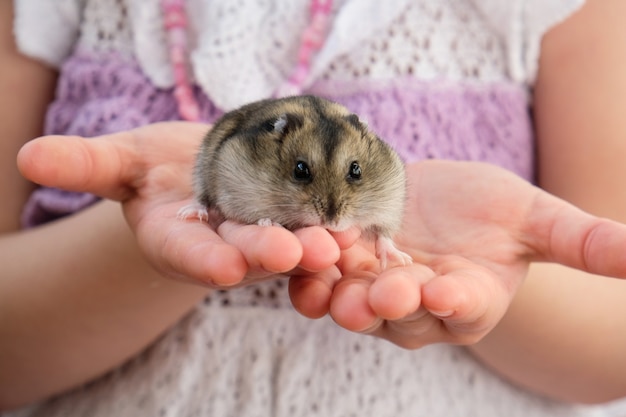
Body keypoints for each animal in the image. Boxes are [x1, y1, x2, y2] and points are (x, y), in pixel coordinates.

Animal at [177, 95, 410, 268]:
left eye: (356, 170)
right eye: (300, 169)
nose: (330, 222)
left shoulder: (389, 200)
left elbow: (383, 234)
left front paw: (400, 260)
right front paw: (270, 223)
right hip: (202, 167)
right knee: (202, 198)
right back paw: (190, 214)